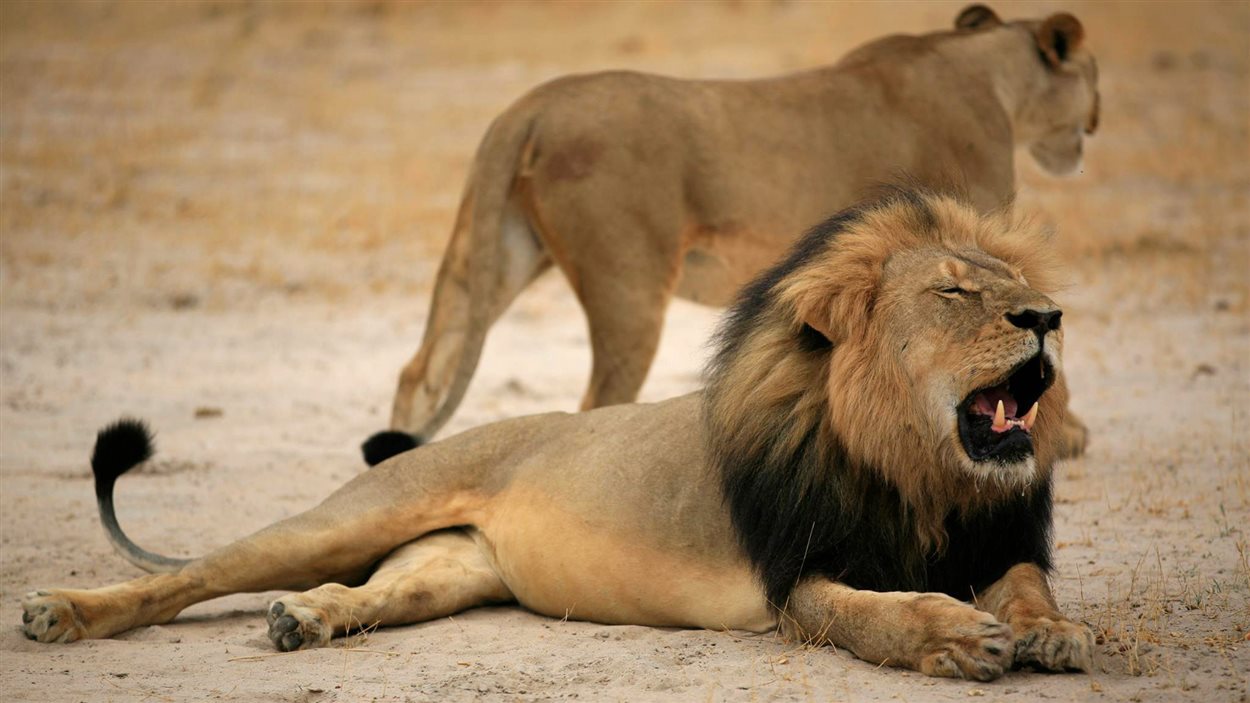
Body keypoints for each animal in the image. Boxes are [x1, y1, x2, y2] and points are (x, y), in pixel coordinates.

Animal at [23, 191, 1092, 681]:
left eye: (1012, 284)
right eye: (954, 293)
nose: (1048, 316)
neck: (919, 471)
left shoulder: (994, 537)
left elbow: (1027, 585)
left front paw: (1052, 632)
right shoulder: (797, 576)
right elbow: (875, 614)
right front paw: (955, 636)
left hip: (446, 569)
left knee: (365, 592)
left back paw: (306, 620)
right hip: (351, 515)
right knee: (189, 576)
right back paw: (61, 613)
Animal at [375, 4, 1099, 462]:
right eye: (1092, 78)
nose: (1094, 120)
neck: (992, 76)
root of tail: (530, 105)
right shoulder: (966, 237)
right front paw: (1062, 435)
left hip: (496, 253)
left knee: (421, 369)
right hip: (627, 285)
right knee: (595, 402)